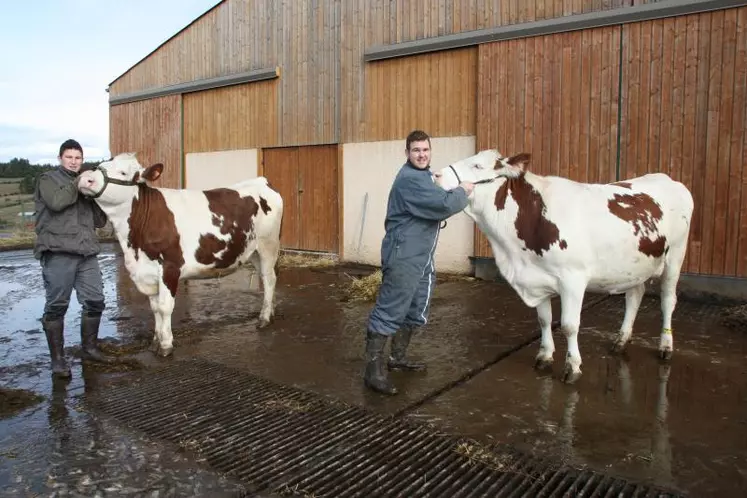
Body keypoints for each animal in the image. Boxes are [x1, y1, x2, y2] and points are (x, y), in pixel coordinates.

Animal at [77, 154, 284, 356]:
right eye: (102, 165)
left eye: (123, 172)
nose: (85, 178)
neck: (134, 246)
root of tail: (262, 181)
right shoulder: (147, 272)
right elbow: (155, 308)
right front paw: (155, 340)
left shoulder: (170, 267)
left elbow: (164, 307)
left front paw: (166, 345)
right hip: (253, 251)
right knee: (267, 278)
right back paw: (271, 311)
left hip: (268, 245)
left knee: (269, 279)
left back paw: (264, 318)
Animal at [438, 150, 696, 384]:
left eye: (477, 166)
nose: (437, 175)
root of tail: (667, 178)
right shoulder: (537, 279)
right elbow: (544, 320)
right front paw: (544, 357)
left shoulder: (573, 279)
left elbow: (569, 325)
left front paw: (572, 367)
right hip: (635, 266)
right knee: (635, 295)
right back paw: (621, 340)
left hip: (675, 257)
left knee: (667, 301)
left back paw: (665, 346)